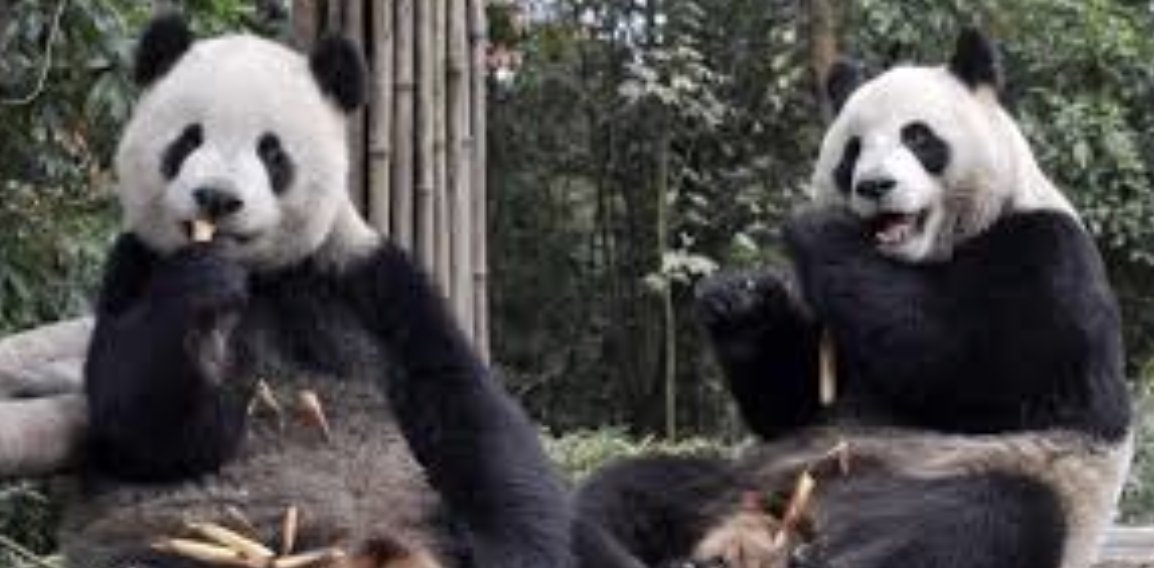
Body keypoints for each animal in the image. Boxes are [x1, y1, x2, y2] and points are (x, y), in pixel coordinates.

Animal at [56, 14, 573, 568]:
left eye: (271, 151)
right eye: (188, 140)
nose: (217, 197)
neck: (263, 275)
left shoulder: (366, 280)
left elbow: (463, 407)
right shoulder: (135, 267)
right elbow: (143, 432)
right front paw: (202, 293)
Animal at [575, 28, 1133, 568]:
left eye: (918, 136)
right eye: (853, 151)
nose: (874, 185)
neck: (921, 256)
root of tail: (792, 521)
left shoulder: (1047, 254)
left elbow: (977, 362)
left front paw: (819, 229)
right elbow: (792, 403)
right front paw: (741, 302)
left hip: (985, 472)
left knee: (983, 519)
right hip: (744, 475)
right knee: (629, 486)